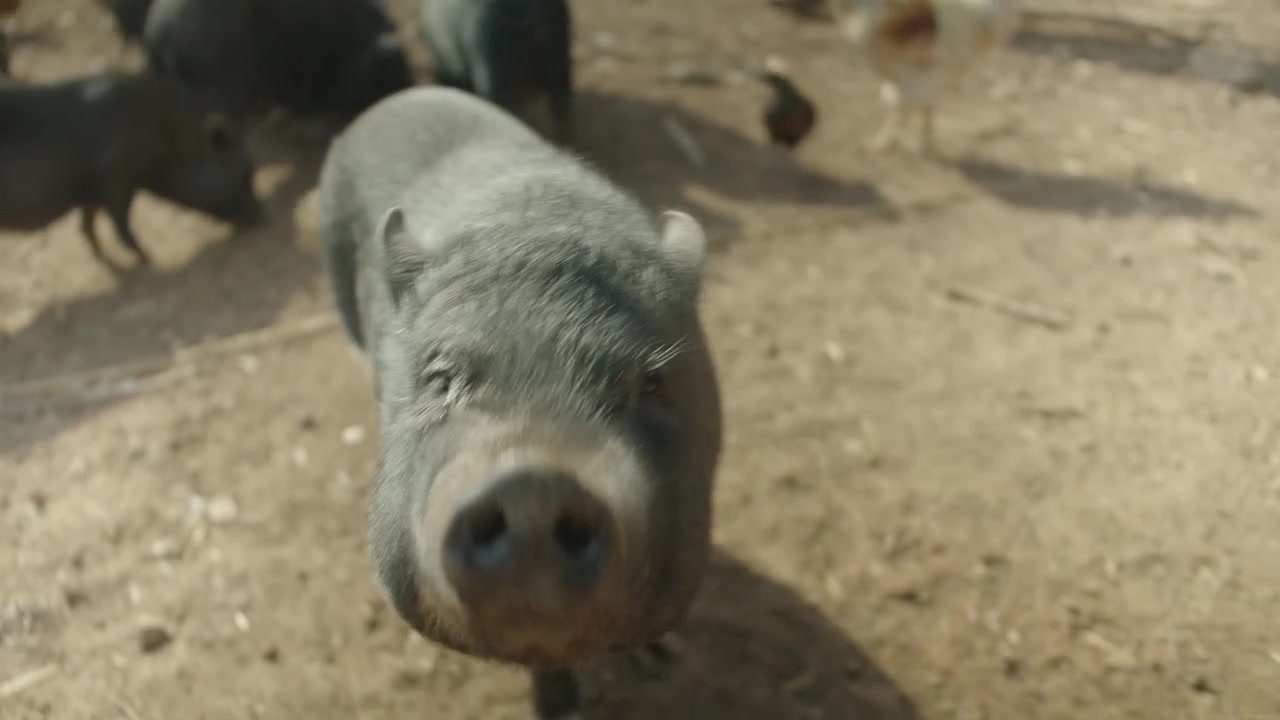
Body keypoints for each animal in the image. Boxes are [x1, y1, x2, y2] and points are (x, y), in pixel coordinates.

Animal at [0, 71, 264, 268]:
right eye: (245, 170)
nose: (263, 216)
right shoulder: (116, 175)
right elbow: (120, 221)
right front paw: (148, 258)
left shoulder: (91, 188)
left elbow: (88, 220)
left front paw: (98, 251)